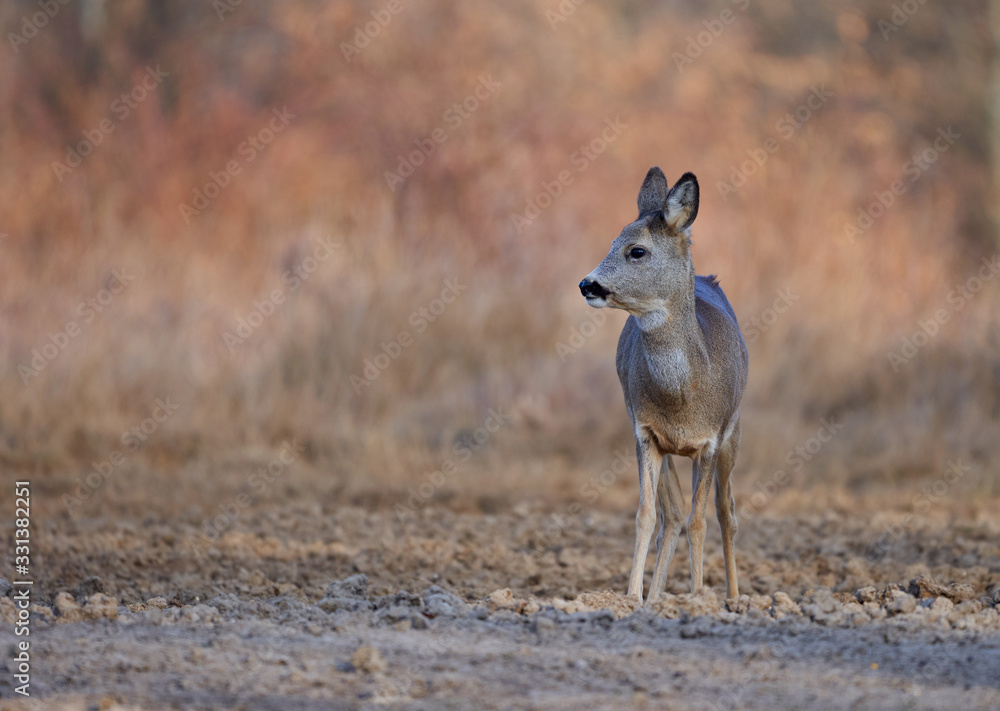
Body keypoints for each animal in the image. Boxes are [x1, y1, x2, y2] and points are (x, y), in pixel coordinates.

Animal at [578, 167, 748, 605]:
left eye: (636, 251)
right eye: (611, 243)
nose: (588, 285)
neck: (683, 396)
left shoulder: (711, 440)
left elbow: (701, 519)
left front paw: (696, 596)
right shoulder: (645, 432)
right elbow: (647, 514)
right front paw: (633, 597)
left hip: (735, 431)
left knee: (726, 511)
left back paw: (733, 597)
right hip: (666, 446)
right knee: (671, 515)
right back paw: (656, 597)